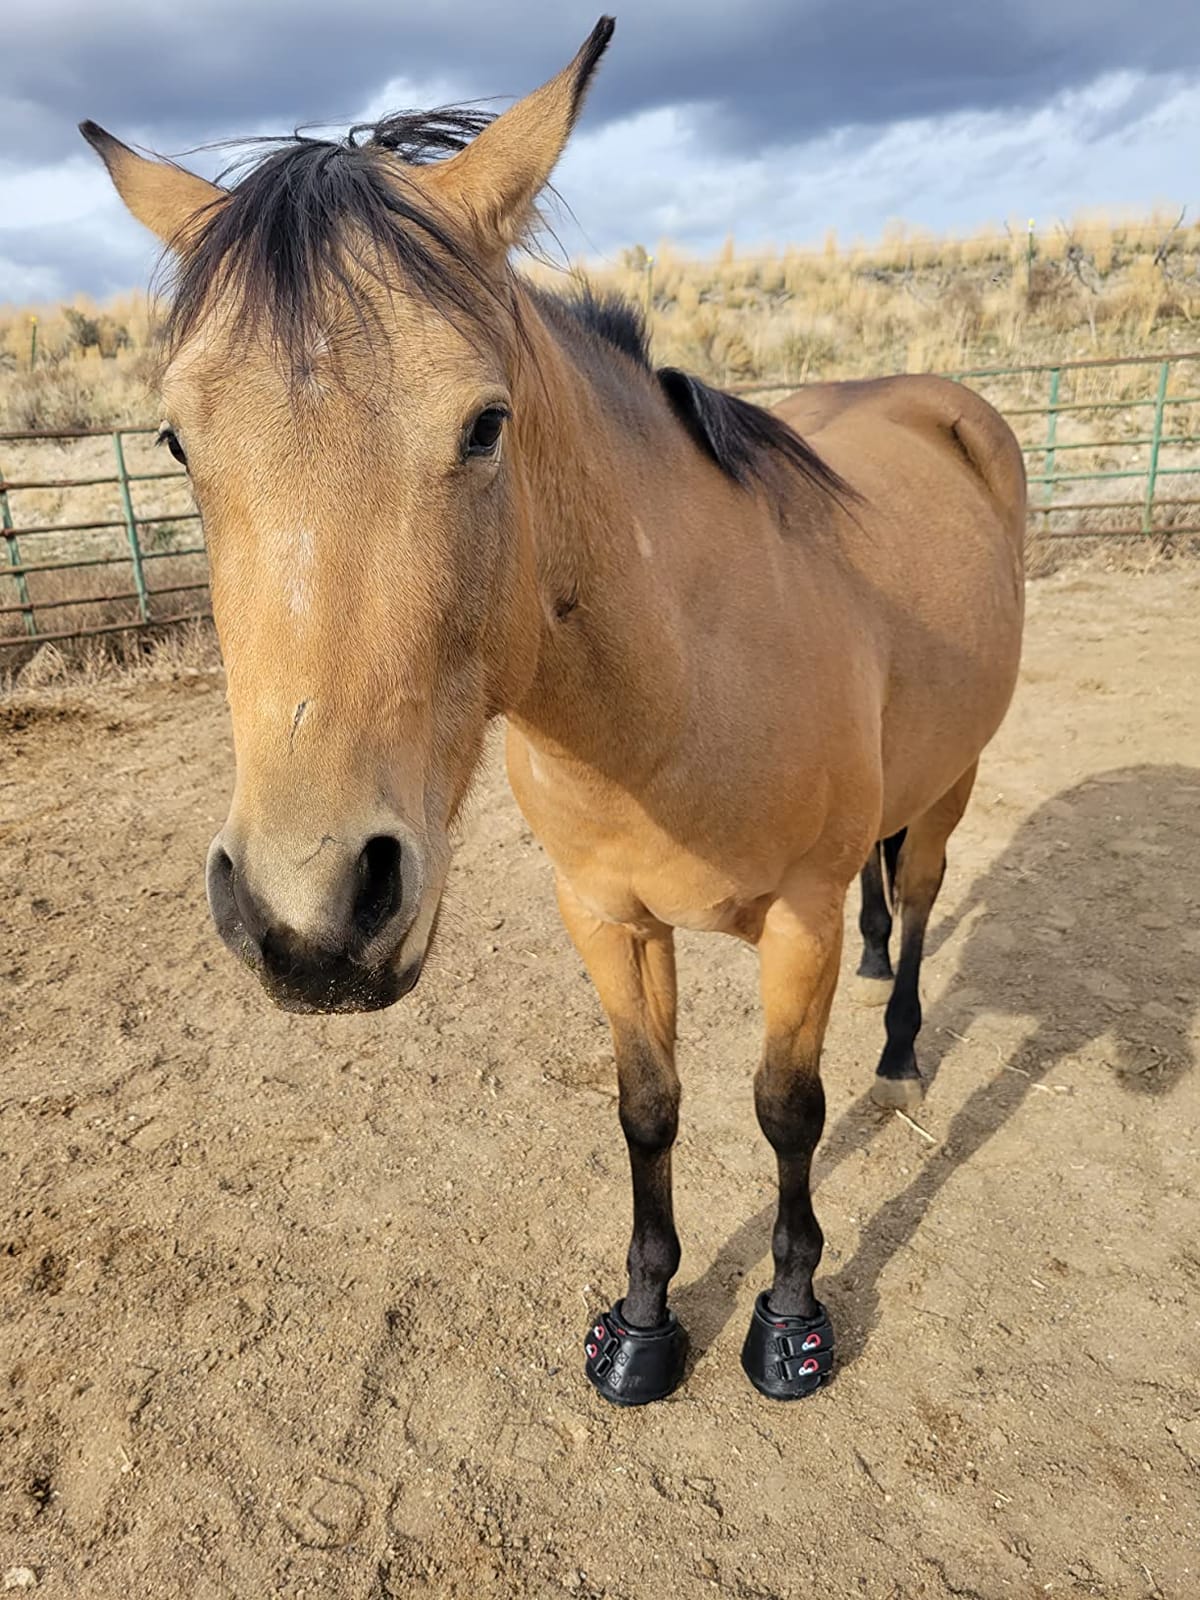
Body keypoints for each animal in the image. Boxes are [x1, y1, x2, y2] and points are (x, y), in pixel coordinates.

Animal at [81, 16, 1025, 1406]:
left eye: (485, 425)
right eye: (176, 444)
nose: (309, 918)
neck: (683, 685)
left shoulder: (791, 918)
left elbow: (786, 1110)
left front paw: (790, 1321)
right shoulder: (606, 914)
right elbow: (648, 1106)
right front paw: (640, 1325)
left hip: (955, 778)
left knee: (915, 897)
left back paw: (901, 1053)